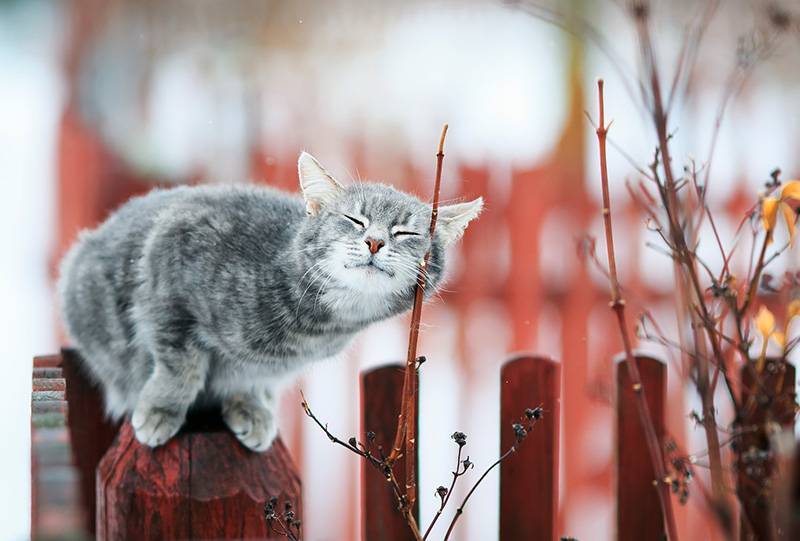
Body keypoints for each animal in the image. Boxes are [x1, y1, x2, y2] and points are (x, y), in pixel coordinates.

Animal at [59, 152, 482, 452]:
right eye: (354, 220)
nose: (375, 241)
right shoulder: (168, 273)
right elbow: (181, 367)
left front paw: (249, 406)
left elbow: (249, 376)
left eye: (405, 232)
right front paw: (162, 408)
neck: (316, 327)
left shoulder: (267, 367)